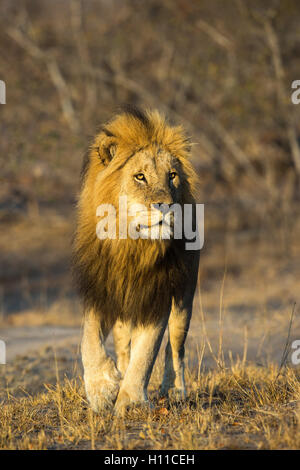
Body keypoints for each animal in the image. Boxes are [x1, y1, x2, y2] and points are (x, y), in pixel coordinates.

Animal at [72, 106, 200, 414]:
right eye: (140, 177)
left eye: (172, 175)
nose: (167, 206)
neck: (131, 246)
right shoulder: (100, 291)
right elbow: (88, 340)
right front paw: (102, 388)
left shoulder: (157, 296)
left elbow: (147, 353)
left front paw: (129, 401)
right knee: (122, 345)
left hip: (185, 298)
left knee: (176, 346)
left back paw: (175, 390)